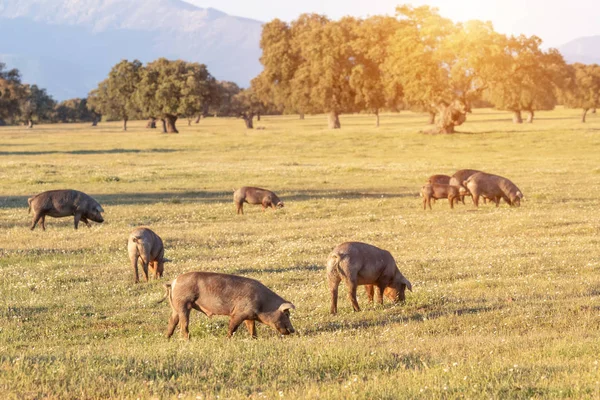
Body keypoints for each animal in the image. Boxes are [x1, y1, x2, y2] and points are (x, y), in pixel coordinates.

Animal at [159, 270, 296, 340]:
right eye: (286, 314)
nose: (293, 330)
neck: (264, 303)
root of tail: (173, 282)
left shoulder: (249, 316)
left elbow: (252, 328)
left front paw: (254, 339)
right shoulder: (238, 313)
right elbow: (232, 327)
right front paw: (227, 339)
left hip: (175, 307)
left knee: (172, 321)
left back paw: (167, 338)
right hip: (183, 304)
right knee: (183, 325)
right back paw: (188, 340)